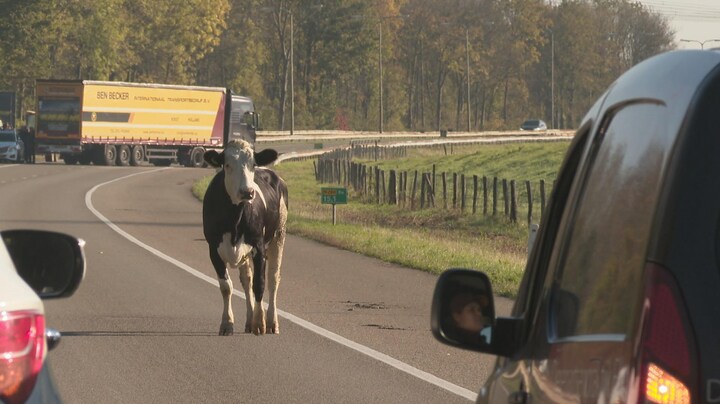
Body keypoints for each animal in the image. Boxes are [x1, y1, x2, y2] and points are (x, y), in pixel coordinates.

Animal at [202, 140, 288, 335]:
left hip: (279, 234)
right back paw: (249, 321)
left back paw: (271, 322)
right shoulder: (213, 250)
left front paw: (259, 323)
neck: (234, 218)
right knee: (246, 280)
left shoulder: (258, 248)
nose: (247, 192)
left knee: (273, 279)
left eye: (252, 164)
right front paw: (227, 323)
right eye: (227, 165)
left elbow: (260, 284)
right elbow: (227, 287)